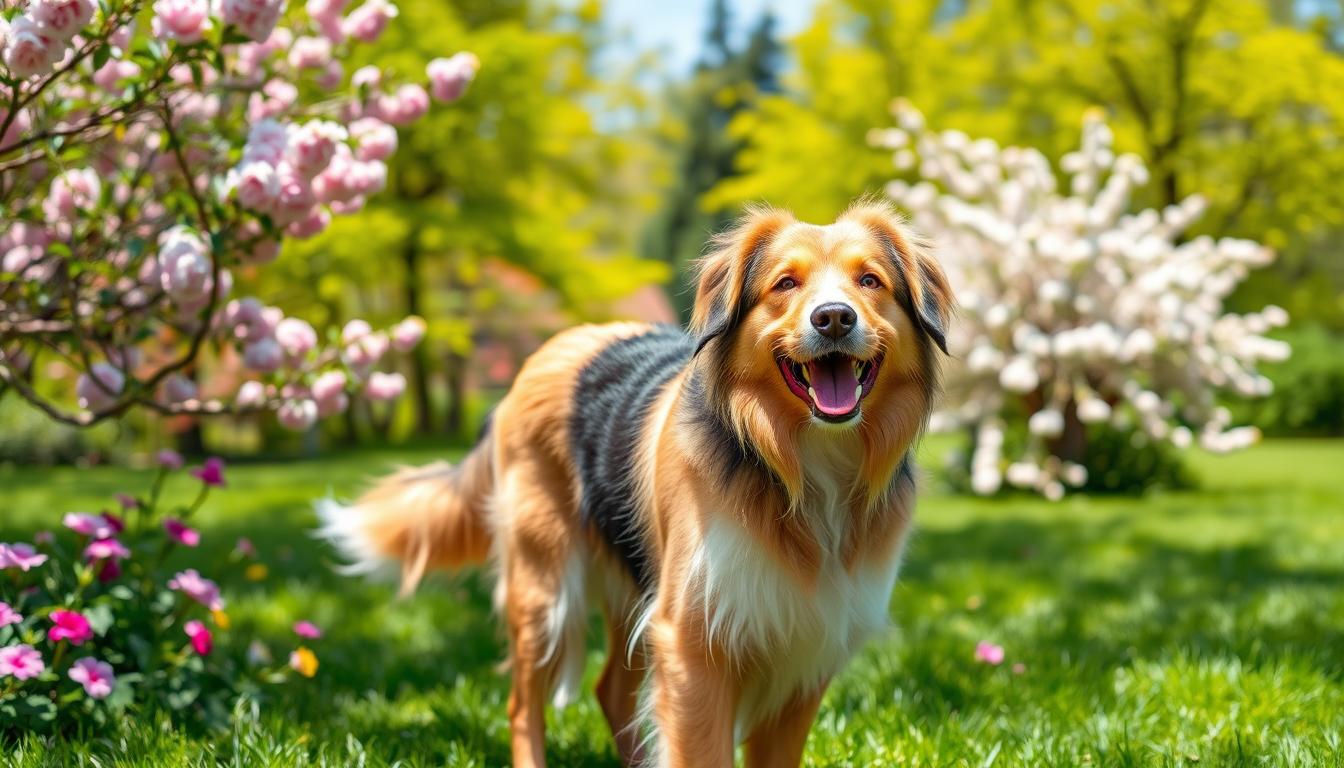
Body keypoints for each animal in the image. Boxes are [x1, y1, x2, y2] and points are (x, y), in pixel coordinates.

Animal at [322, 201, 956, 763]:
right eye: (785, 283)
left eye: (870, 280)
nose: (833, 317)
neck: (801, 463)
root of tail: (545, 354)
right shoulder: (693, 641)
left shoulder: (804, 650)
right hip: (544, 590)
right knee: (522, 705)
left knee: (609, 691)